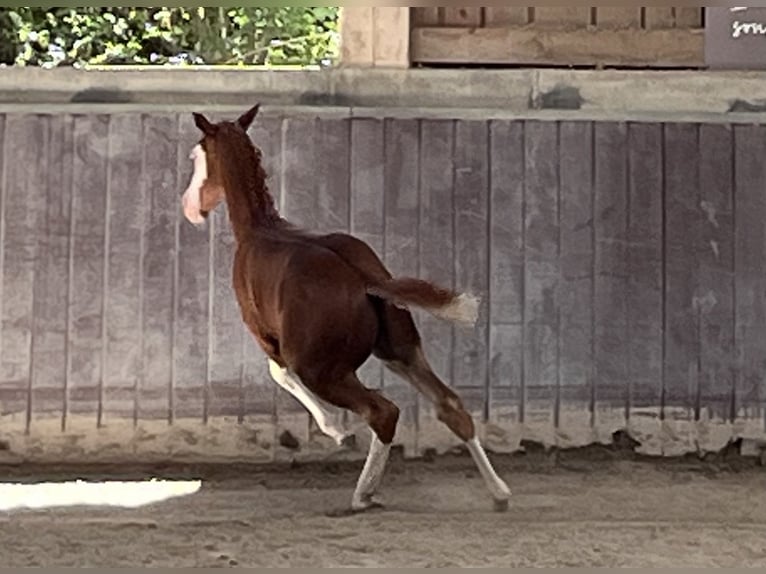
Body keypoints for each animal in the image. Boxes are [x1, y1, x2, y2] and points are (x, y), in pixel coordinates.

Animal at [180, 104, 511, 513]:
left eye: (196, 155)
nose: (190, 207)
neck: (259, 229)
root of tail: (363, 276)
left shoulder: (267, 337)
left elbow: (279, 374)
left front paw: (336, 431)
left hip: (323, 369)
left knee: (382, 411)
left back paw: (363, 493)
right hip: (400, 351)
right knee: (451, 405)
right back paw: (499, 492)